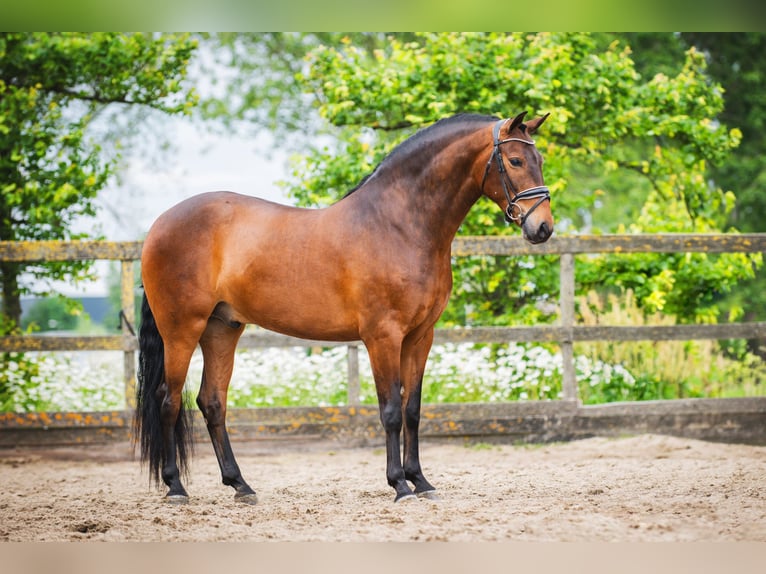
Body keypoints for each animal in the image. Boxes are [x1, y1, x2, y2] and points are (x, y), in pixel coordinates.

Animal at [138, 111, 556, 504]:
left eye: (540, 159)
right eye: (515, 160)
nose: (543, 228)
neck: (399, 225)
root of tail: (159, 225)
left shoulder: (420, 336)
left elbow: (412, 410)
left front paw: (421, 482)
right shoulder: (382, 336)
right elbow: (390, 410)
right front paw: (399, 485)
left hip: (221, 328)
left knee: (212, 402)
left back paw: (241, 486)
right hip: (182, 329)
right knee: (167, 400)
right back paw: (176, 488)